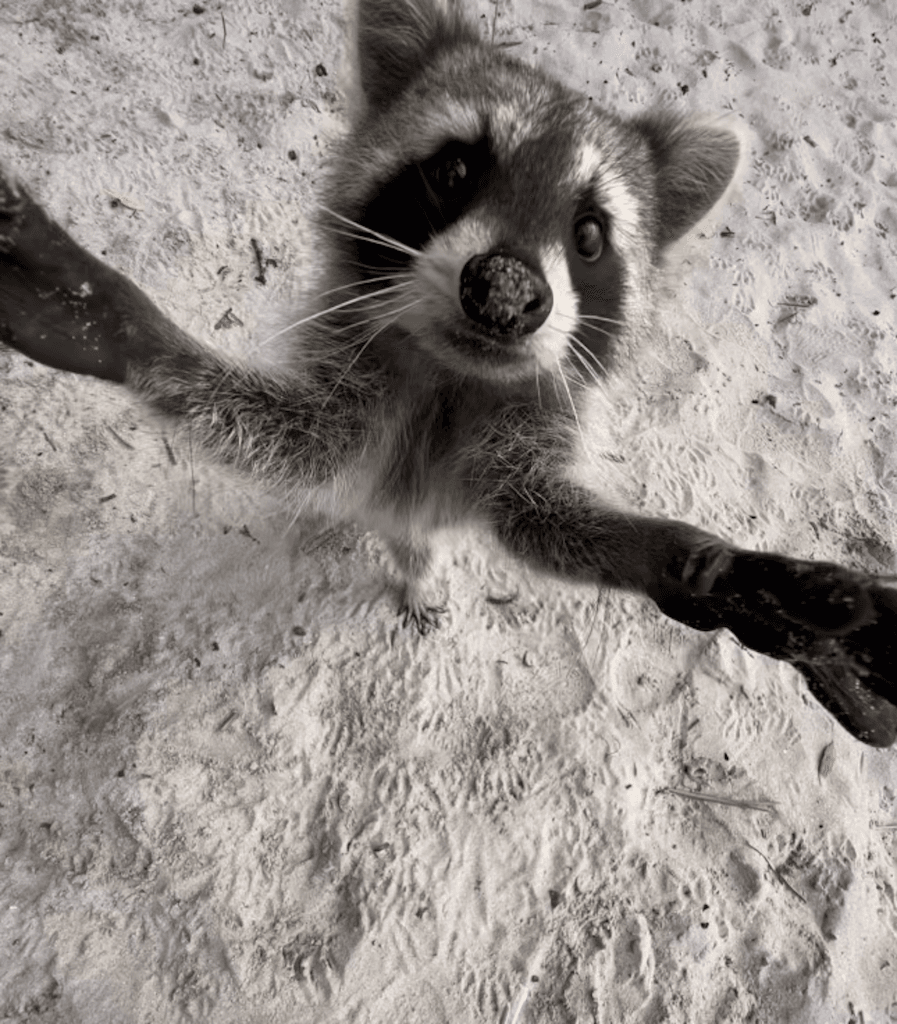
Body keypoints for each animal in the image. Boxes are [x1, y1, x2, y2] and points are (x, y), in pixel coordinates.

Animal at [1, 0, 896, 745]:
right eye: (454, 171)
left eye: (589, 235)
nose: (503, 291)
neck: (451, 373)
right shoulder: (355, 368)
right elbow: (301, 441)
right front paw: (136, 334)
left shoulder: (533, 419)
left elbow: (538, 515)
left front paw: (681, 555)